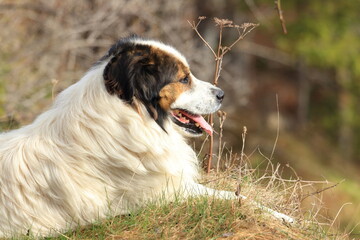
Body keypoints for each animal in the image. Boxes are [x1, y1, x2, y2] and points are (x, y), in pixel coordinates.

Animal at [0, 36, 292, 237]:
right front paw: (283, 217)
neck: (132, 117)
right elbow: (232, 197)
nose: (221, 94)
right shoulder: (167, 195)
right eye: (184, 79)